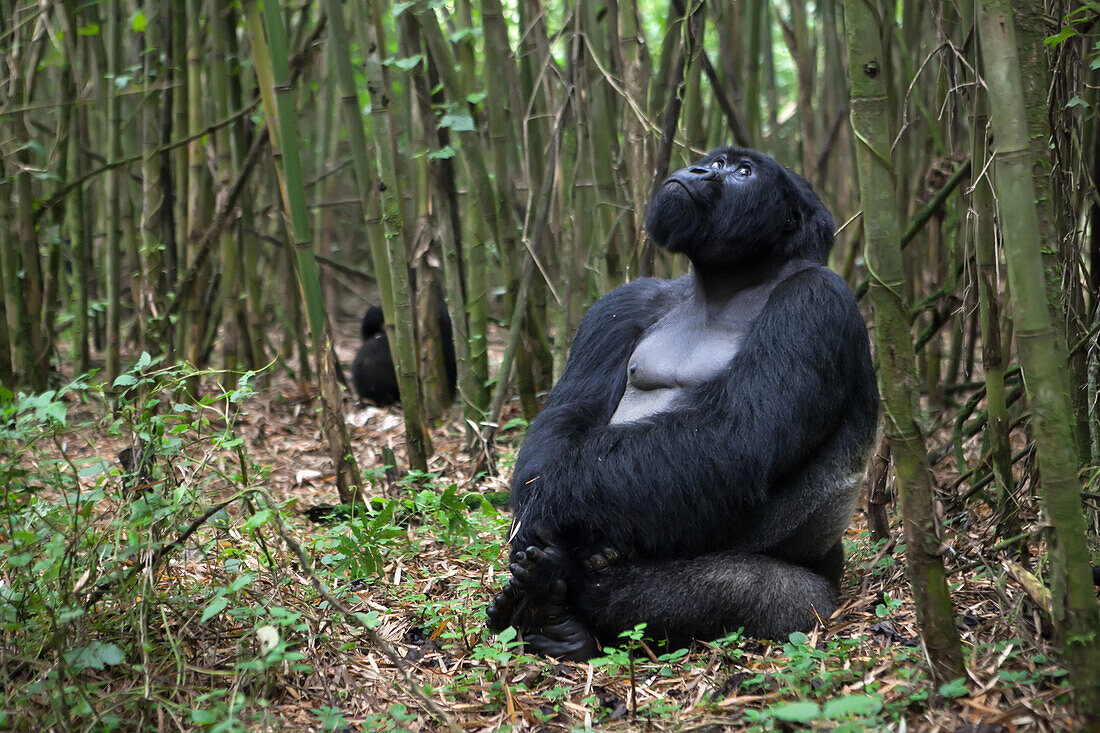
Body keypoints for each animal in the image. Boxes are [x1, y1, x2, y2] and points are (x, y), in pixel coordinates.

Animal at [486, 145, 880, 660]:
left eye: (743, 172)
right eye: (716, 160)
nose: (698, 170)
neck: (728, 282)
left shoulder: (815, 301)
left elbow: (736, 435)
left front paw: (551, 500)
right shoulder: (627, 301)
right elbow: (567, 416)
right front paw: (538, 502)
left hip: (822, 592)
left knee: (755, 594)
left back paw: (559, 599)